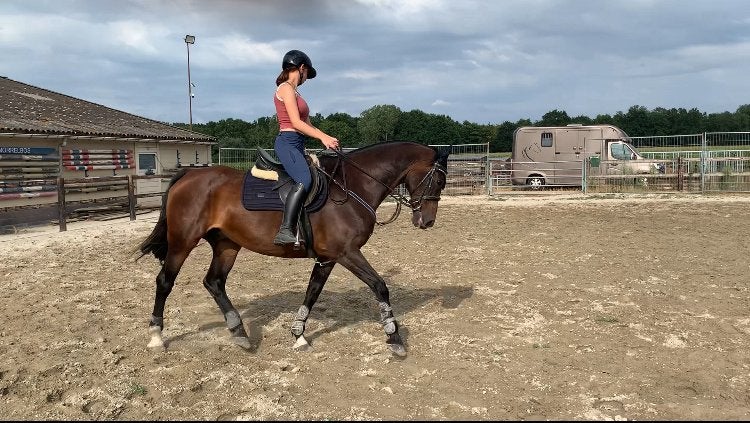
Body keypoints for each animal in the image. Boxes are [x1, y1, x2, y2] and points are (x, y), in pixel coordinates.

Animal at [136, 141, 450, 357]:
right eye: (438, 180)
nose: (427, 221)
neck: (352, 187)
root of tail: (188, 175)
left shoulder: (328, 257)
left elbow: (313, 291)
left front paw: (298, 334)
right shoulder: (347, 253)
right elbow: (379, 286)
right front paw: (394, 337)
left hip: (226, 244)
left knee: (214, 282)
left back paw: (239, 332)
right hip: (182, 242)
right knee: (165, 281)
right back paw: (156, 336)